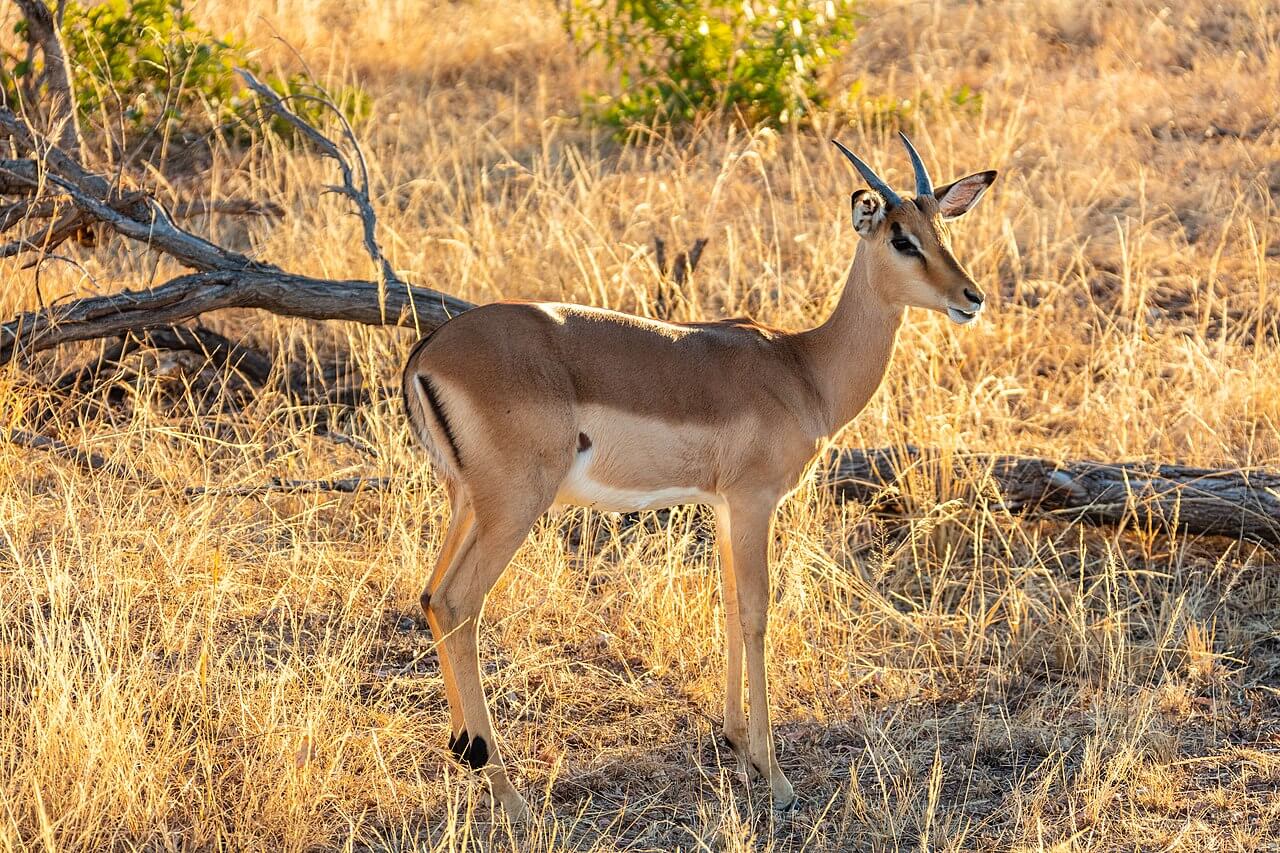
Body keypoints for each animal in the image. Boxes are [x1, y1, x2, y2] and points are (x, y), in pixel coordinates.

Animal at [402, 133, 997, 818]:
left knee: (430, 595)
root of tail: (429, 352)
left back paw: (464, 749)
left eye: (942, 229)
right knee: (458, 602)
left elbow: (729, 603)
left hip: (468, 502)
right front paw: (776, 777)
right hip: (514, 505)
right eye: (901, 238)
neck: (802, 367)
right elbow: (757, 612)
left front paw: (738, 746)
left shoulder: (721, 506)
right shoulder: (755, 501)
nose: (971, 298)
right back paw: (507, 791)